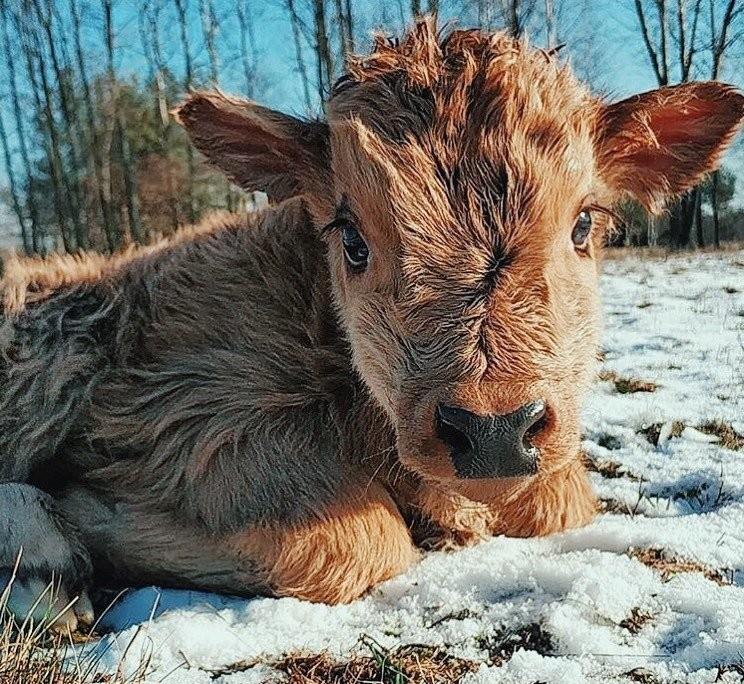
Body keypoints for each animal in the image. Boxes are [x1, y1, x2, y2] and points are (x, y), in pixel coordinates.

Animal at [1, 20, 744, 632]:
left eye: (584, 224)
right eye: (353, 240)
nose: (493, 431)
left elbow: (558, 501)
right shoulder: (183, 415)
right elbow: (354, 541)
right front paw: (86, 516)